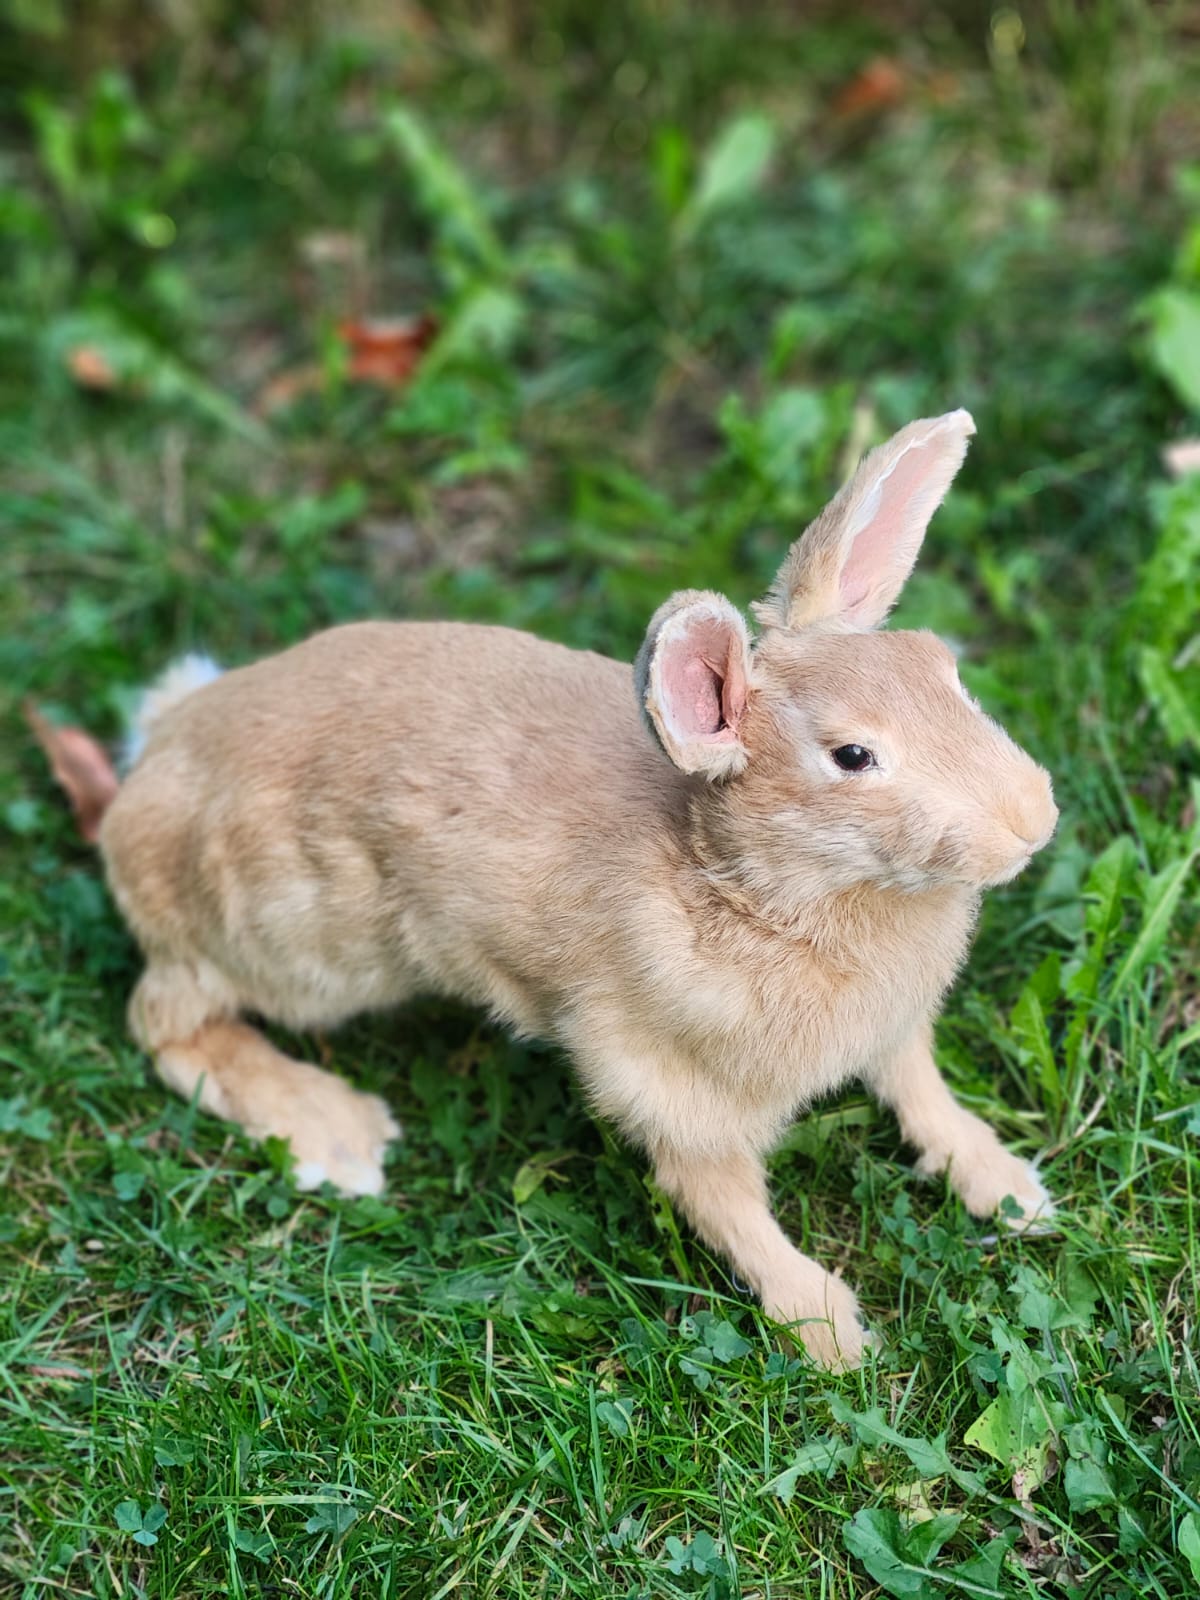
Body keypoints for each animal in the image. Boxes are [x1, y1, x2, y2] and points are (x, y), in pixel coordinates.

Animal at [99, 408, 1058, 1369]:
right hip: (289, 949)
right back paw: (336, 1134)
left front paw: (1012, 1191)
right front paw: (831, 1334)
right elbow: (724, 1203)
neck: (745, 885)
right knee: (163, 1022)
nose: (1035, 819)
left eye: (944, 670)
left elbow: (925, 1096)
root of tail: (149, 768)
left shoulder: (894, 1034)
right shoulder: (666, 1085)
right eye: (852, 756)